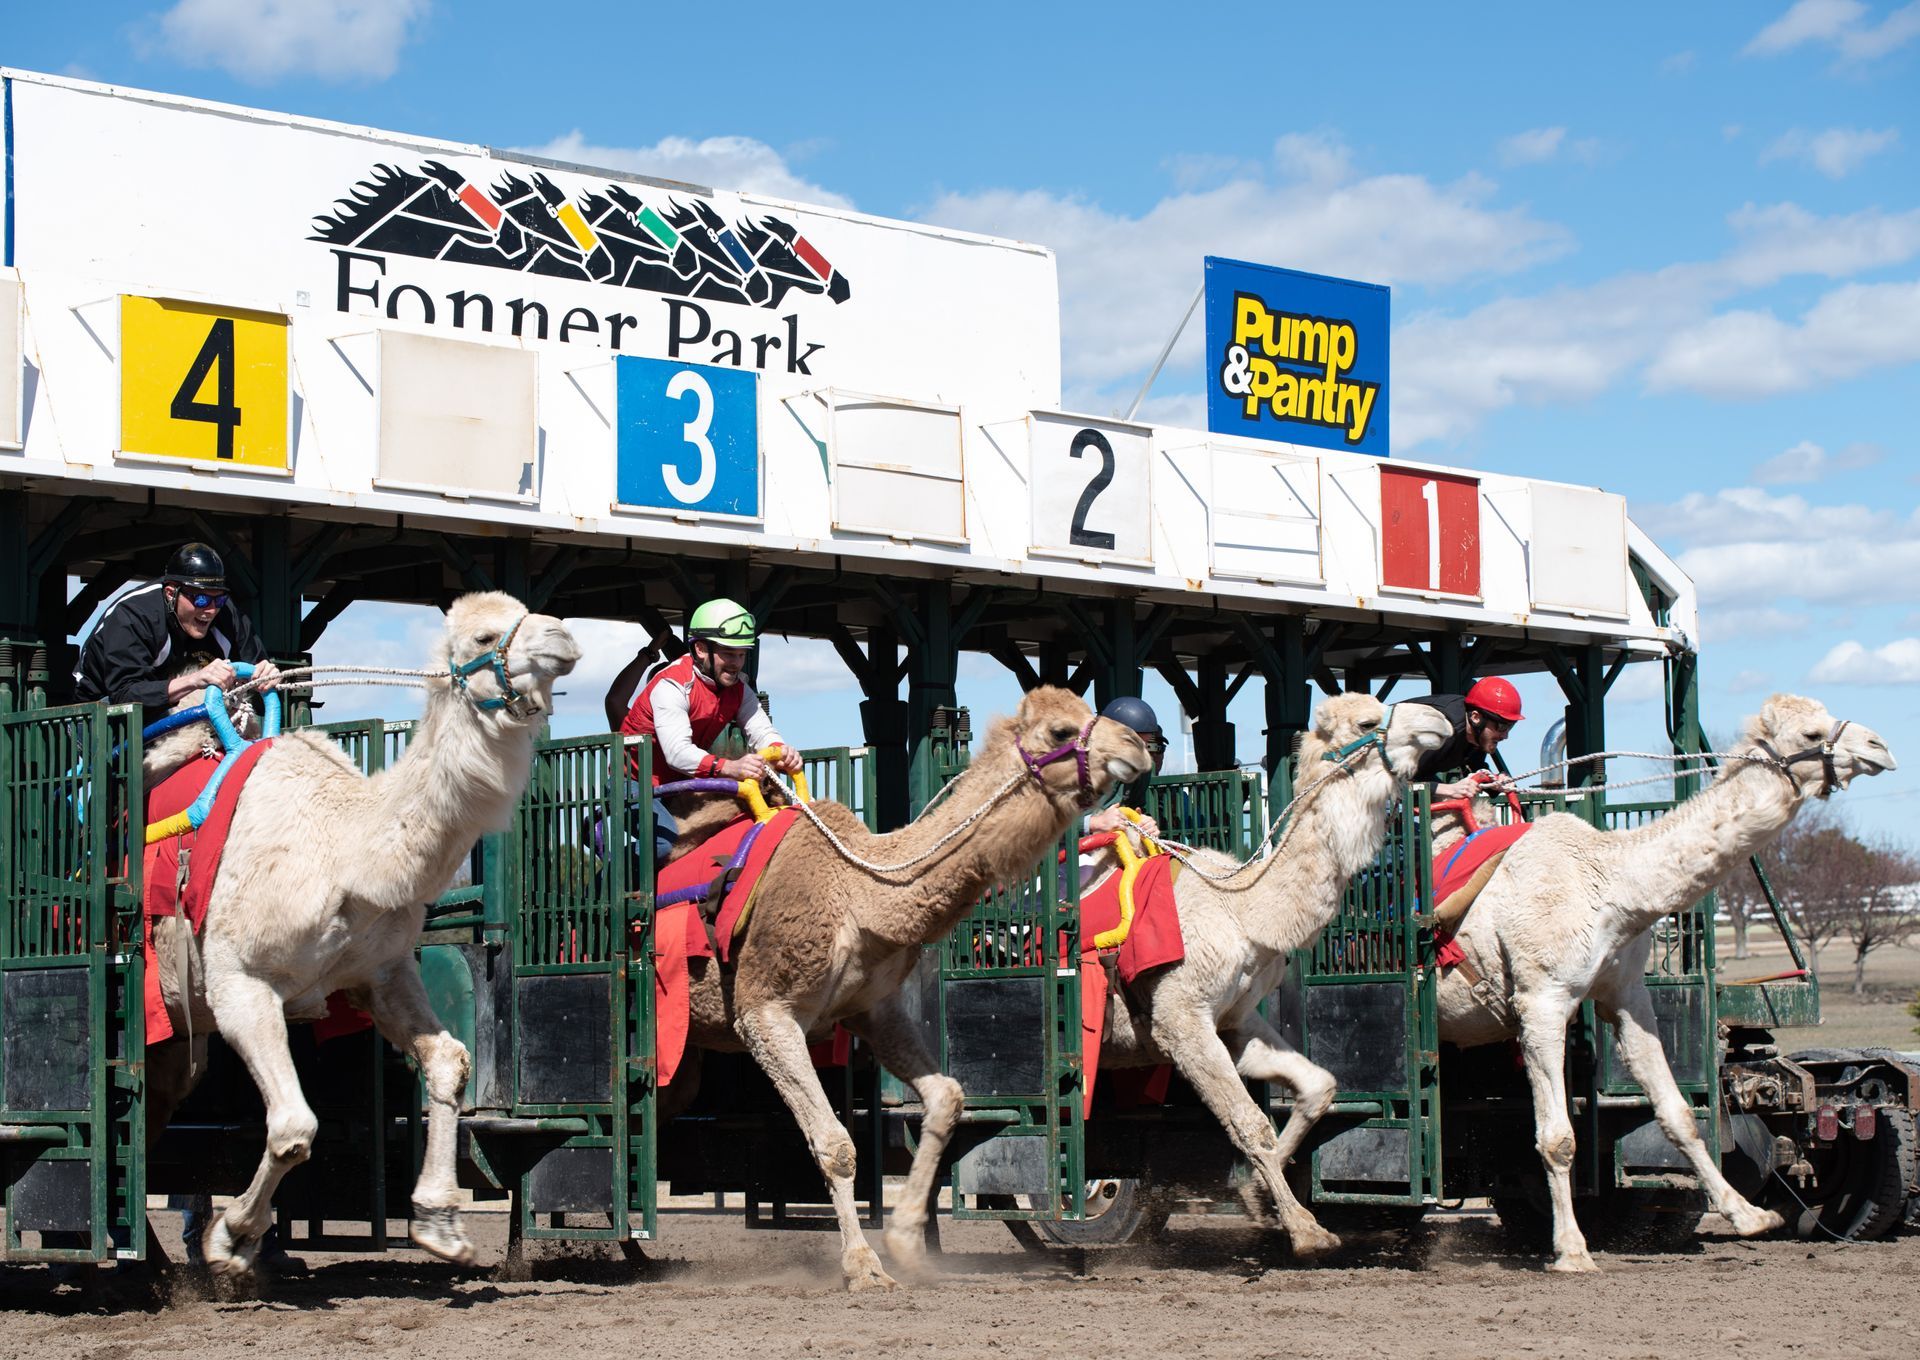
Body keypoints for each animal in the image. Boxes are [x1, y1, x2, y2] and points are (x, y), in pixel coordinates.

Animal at [147, 587, 576, 1283]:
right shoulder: (240, 983)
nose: (563, 637)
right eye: (484, 638)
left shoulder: (380, 971)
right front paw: (230, 1242)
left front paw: (440, 1225)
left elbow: (449, 1060)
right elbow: (294, 1126)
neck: (346, 851)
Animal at [675, 683, 1144, 1290]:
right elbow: (835, 1144)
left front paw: (904, 1242)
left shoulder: (873, 1008)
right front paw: (863, 1267)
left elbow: (946, 1098)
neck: (864, 893)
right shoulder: (763, 1009)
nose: (1137, 746)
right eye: (1062, 731)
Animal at [1090, 695, 1443, 1260]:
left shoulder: (1234, 1021)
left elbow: (1319, 1086)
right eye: (1368, 721)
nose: (1439, 718)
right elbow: (1250, 1123)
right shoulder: (1179, 1020)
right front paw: (1306, 1231)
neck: (1244, 910)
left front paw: (1259, 1196)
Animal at [1436, 695, 1896, 1267]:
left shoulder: (1626, 996)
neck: (1610, 885)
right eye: (1811, 732)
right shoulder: (1540, 999)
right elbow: (1558, 1137)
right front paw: (1573, 1252)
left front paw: (1751, 1215)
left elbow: (1678, 1114)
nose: (1881, 746)